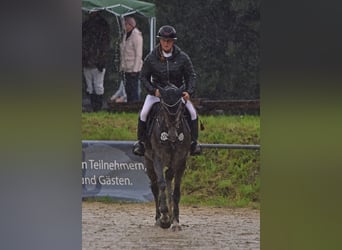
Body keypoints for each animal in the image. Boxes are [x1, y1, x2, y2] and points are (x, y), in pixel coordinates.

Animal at [144, 84, 192, 230]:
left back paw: (171, 218)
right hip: (148, 162)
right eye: (164, 108)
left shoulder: (181, 161)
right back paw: (158, 219)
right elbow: (161, 184)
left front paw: (175, 221)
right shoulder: (158, 158)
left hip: (171, 163)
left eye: (180, 108)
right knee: (155, 187)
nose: (172, 136)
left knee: (169, 178)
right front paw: (164, 218)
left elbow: (175, 192)